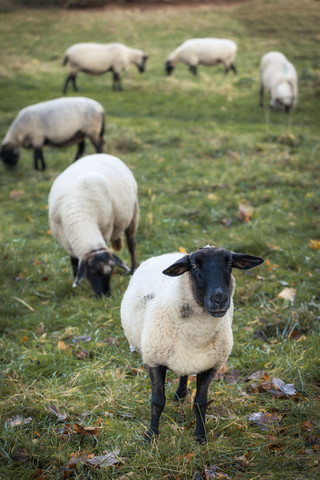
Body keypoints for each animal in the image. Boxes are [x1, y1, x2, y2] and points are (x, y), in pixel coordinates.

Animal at [121, 246, 264, 444]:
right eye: (195, 266)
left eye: (229, 263)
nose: (219, 299)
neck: (196, 337)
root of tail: (173, 254)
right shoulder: (154, 360)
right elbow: (157, 401)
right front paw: (151, 436)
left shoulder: (211, 365)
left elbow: (200, 403)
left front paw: (201, 437)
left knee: (184, 374)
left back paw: (181, 393)